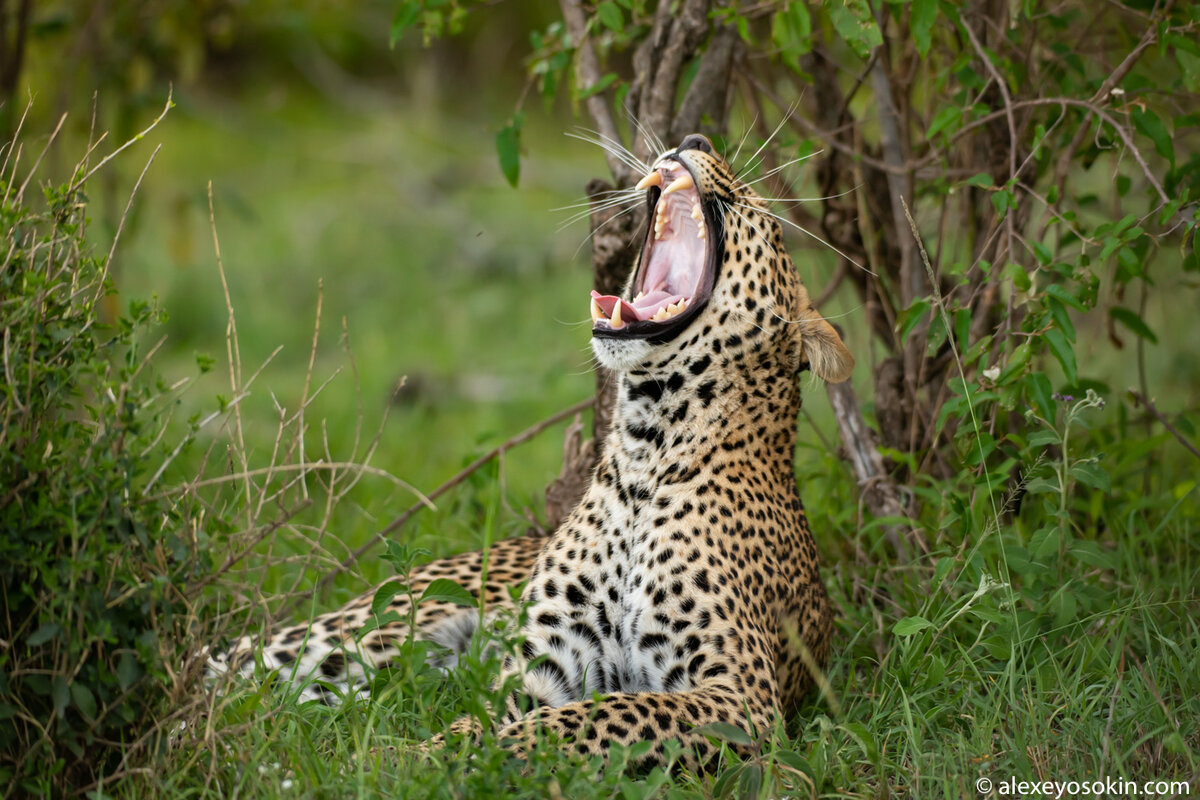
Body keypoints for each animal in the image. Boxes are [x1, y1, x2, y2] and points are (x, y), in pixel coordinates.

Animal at [213, 131, 854, 767]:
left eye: (762, 213)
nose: (696, 137)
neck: (644, 454)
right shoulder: (542, 662)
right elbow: (486, 722)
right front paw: (410, 760)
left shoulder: (740, 695)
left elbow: (589, 717)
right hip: (371, 633)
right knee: (236, 661)